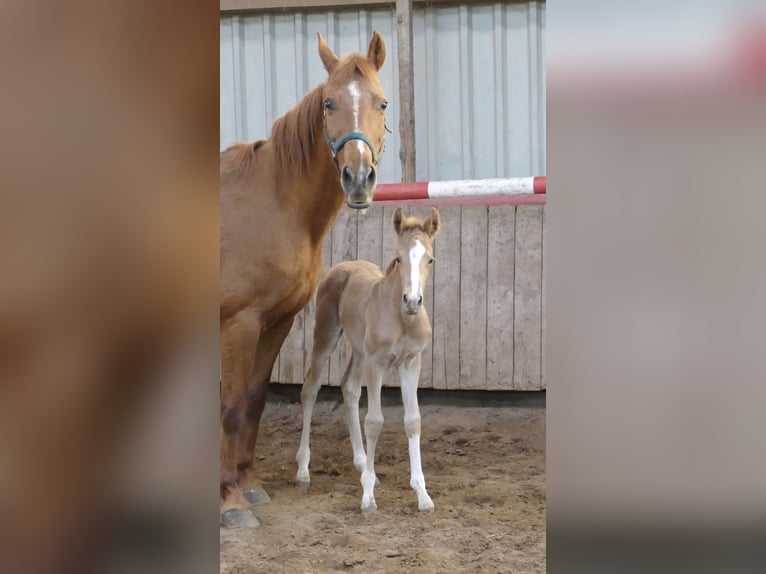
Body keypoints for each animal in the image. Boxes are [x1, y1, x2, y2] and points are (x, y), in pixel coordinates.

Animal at [220, 32, 388, 527]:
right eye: (330, 102)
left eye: (382, 103)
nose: (358, 178)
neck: (275, 201)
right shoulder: (238, 324)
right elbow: (232, 406)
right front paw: (230, 502)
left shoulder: (277, 321)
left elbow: (254, 400)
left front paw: (249, 485)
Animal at [296, 207, 440, 513]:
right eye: (398, 257)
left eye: (430, 258)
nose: (413, 300)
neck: (402, 318)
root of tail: (339, 267)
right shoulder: (377, 363)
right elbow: (374, 421)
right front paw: (368, 497)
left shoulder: (411, 362)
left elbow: (413, 420)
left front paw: (422, 495)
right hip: (326, 336)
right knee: (310, 389)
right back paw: (303, 470)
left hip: (359, 351)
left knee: (349, 389)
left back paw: (363, 465)